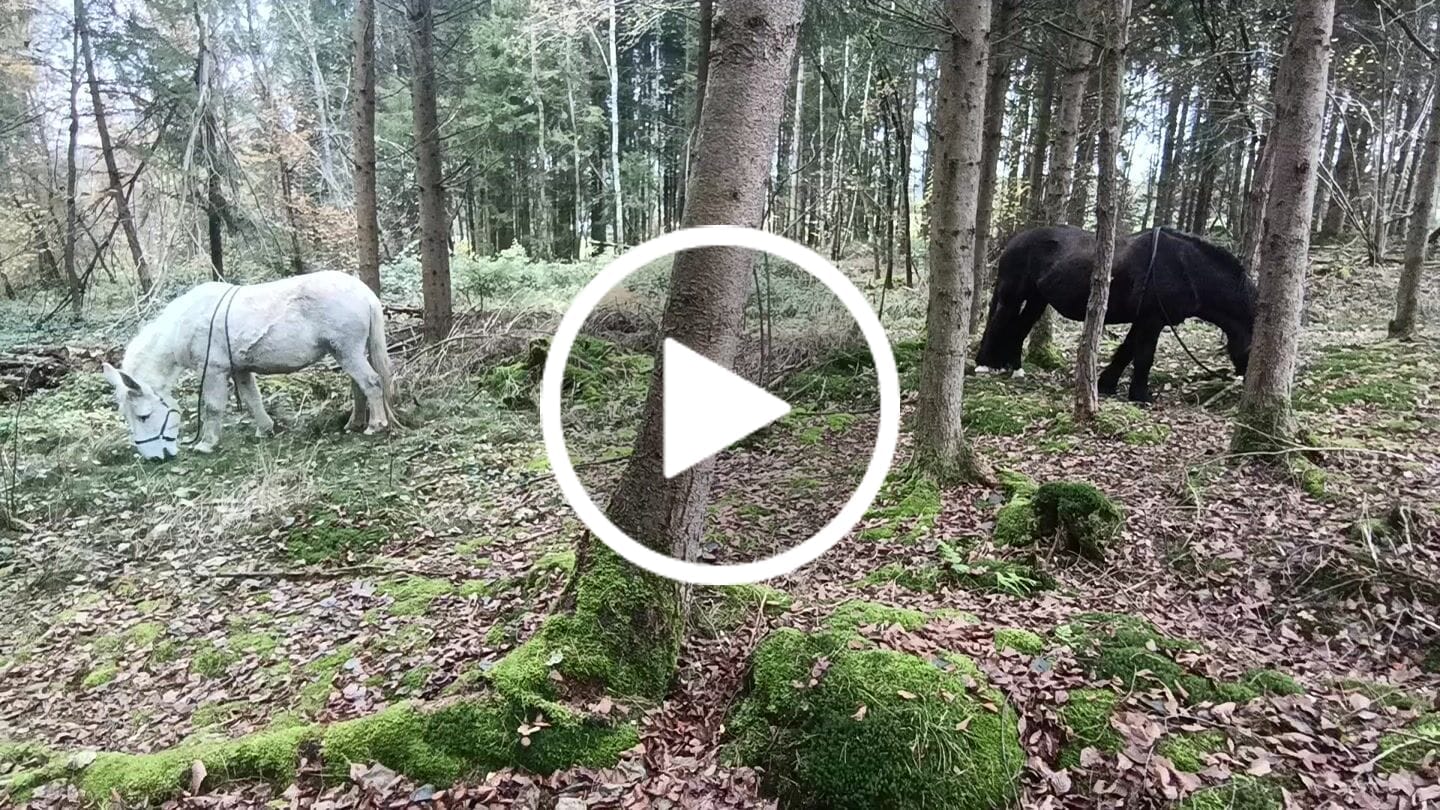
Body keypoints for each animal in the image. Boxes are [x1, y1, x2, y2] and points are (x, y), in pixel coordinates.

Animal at [101, 271, 398, 460]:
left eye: (143, 416)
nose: (155, 458)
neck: (184, 325)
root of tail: (365, 294)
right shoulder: (240, 370)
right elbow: (252, 399)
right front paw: (264, 430)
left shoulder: (214, 370)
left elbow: (213, 407)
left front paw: (207, 444)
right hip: (346, 353)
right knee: (360, 386)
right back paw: (354, 423)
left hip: (347, 352)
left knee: (371, 383)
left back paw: (376, 425)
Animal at [974, 225, 1256, 403]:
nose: (1245, 386)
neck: (1183, 267)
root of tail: (1014, 241)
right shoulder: (1152, 320)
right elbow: (1143, 357)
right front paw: (1141, 396)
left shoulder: (1143, 320)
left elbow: (1125, 352)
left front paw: (1107, 384)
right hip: (1013, 295)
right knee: (999, 323)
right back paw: (984, 365)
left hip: (1037, 300)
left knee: (1019, 329)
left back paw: (1016, 369)